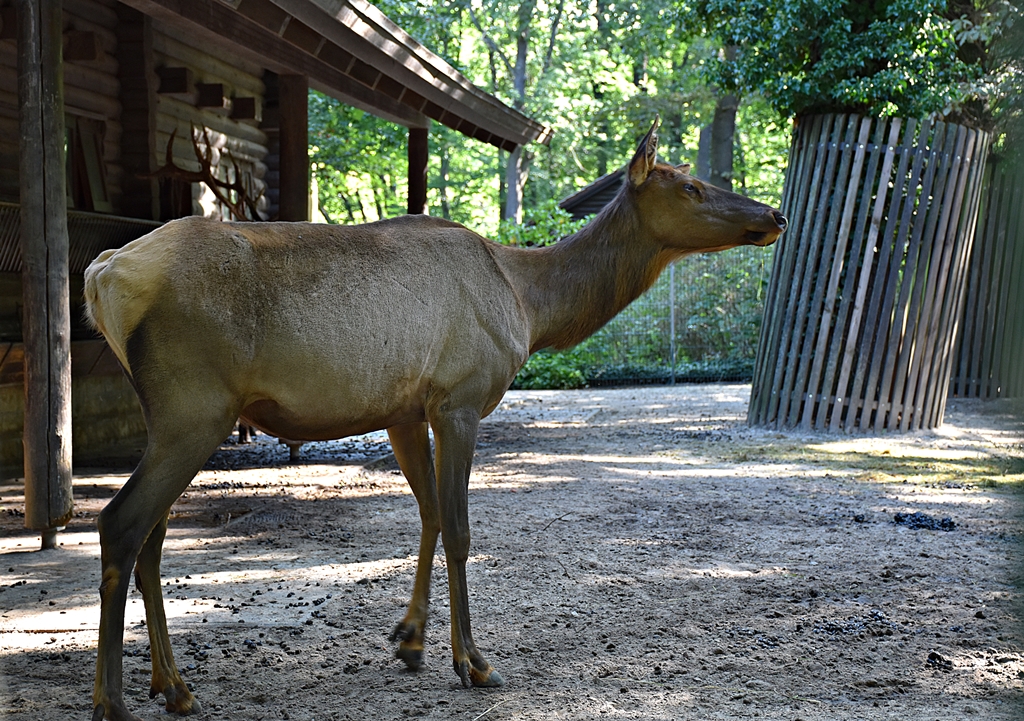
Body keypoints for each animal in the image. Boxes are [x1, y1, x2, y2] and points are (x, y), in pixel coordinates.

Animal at [84, 118, 786, 721]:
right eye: (691, 187)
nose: (773, 214)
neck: (531, 306)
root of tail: (103, 273)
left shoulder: (404, 409)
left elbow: (427, 516)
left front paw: (411, 640)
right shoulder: (461, 398)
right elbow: (460, 528)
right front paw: (473, 660)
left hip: (173, 416)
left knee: (152, 535)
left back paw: (173, 686)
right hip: (194, 406)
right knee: (121, 523)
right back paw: (114, 702)